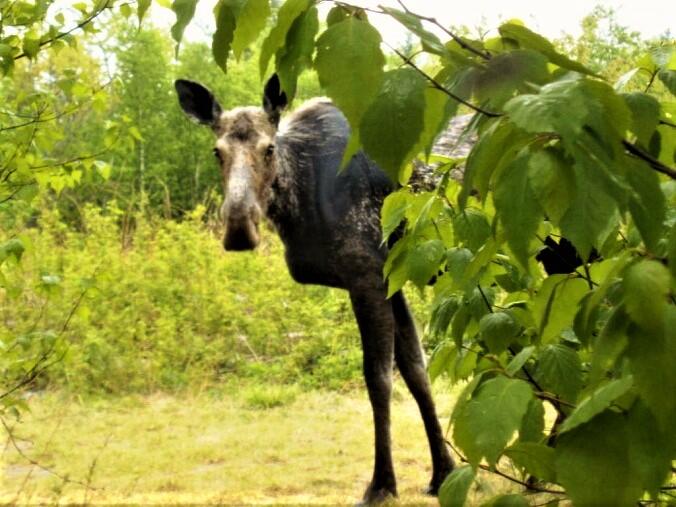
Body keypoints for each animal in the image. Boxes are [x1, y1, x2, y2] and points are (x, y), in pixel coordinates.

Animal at [175, 74, 455, 504]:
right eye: (217, 152)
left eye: (269, 148)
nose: (239, 228)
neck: (298, 203)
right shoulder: (392, 279)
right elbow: (416, 370)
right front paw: (443, 472)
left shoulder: (366, 276)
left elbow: (379, 378)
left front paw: (382, 483)